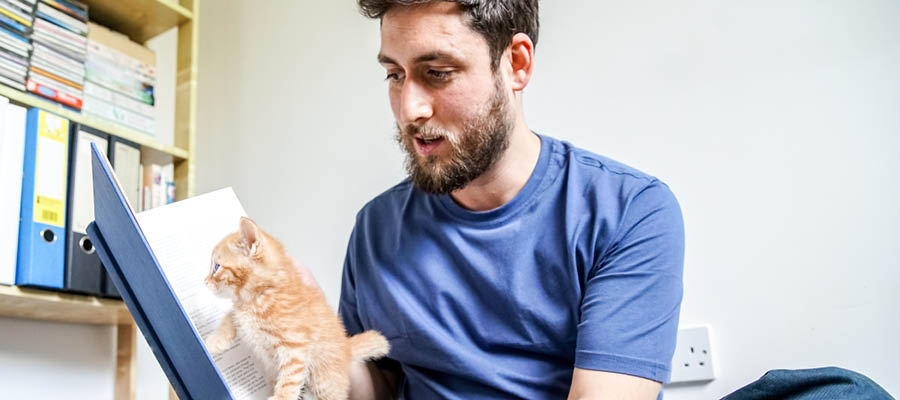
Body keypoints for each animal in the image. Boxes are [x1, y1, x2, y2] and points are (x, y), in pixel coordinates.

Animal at [204, 217, 386, 400]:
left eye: (216, 267)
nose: (205, 282)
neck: (259, 297)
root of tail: (346, 348)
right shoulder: (242, 310)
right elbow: (232, 315)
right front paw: (214, 342)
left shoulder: (295, 345)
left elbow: (289, 378)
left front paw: (281, 397)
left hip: (323, 382)